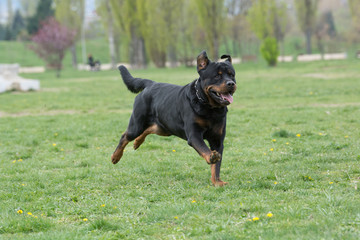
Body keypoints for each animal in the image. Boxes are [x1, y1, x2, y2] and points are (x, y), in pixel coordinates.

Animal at [112, 50, 236, 186]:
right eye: (217, 76)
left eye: (232, 75)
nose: (231, 83)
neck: (210, 108)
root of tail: (151, 84)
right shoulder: (194, 135)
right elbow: (205, 149)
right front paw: (211, 157)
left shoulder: (217, 139)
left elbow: (217, 166)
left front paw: (217, 181)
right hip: (137, 124)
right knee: (125, 136)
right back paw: (115, 156)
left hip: (165, 128)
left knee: (149, 129)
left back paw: (137, 142)